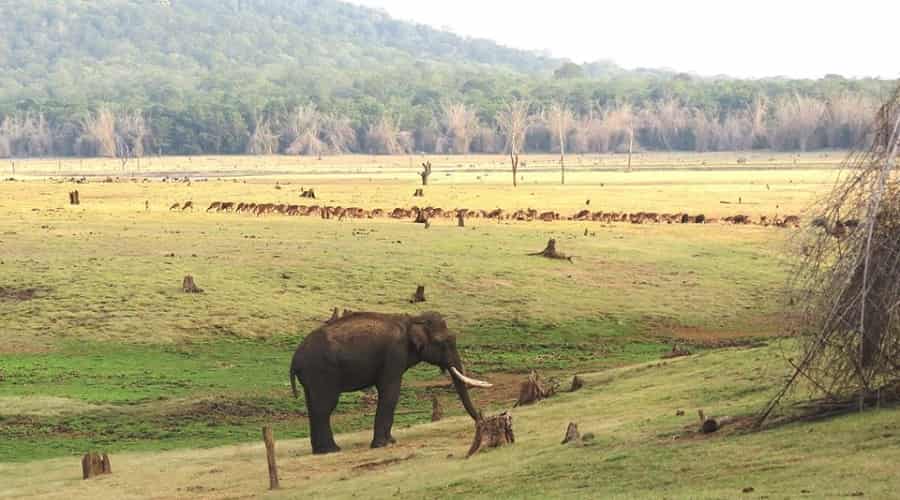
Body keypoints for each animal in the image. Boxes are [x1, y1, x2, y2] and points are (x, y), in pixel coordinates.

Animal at [290, 310, 492, 456]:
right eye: (445, 342)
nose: (481, 421)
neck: (411, 319)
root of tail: (294, 359)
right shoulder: (395, 354)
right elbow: (390, 390)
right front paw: (383, 444)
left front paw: (390, 441)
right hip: (322, 372)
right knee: (325, 408)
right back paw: (331, 450)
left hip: (312, 378)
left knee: (314, 407)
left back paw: (321, 451)